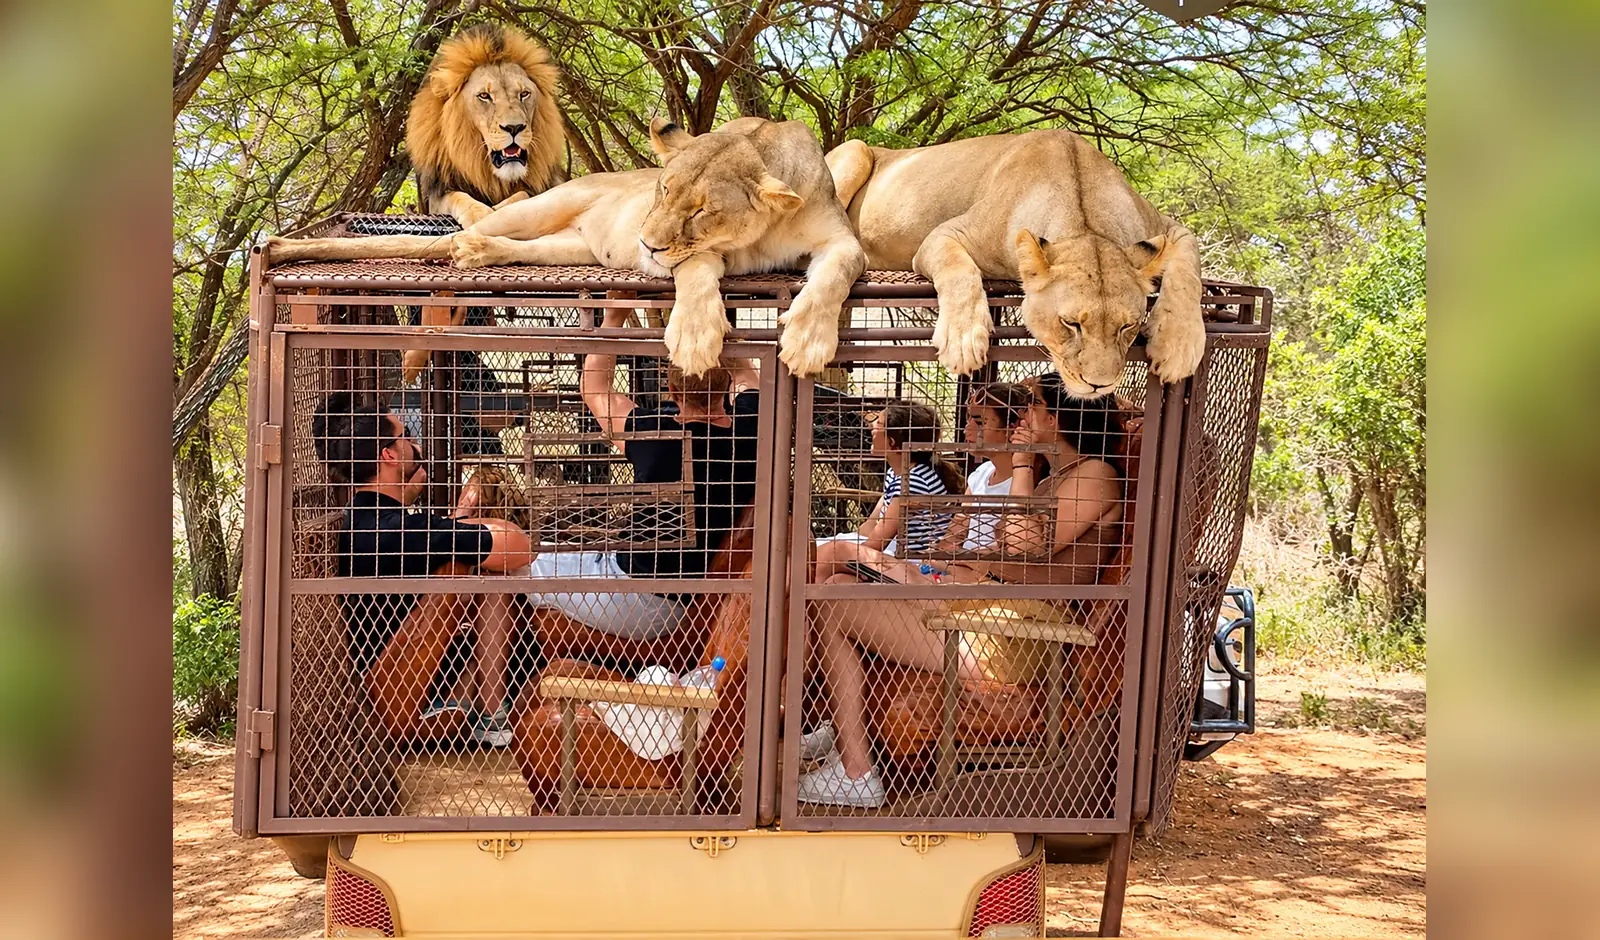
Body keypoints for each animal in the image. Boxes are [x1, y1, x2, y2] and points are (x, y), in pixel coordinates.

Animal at [269, 117, 866, 378]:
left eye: (701, 210)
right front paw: (697, 337)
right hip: (542, 206)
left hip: (564, 248)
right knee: (456, 232)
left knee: (495, 243)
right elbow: (696, 272)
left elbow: (837, 272)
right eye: (663, 188)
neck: (760, 234)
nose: (645, 243)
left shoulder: (839, 238)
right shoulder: (705, 256)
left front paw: (808, 340)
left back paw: (480, 255)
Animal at [407, 23, 565, 227]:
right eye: (484, 96)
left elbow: (525, 194)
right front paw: (478, 214)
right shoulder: (437, 195)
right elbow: (457, 196)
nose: (514, 128)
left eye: (524, 94)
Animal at [826, 129, 1207, 394]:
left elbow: (1190, 272)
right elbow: (959, 272)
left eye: (1128, 326)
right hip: (855, 150)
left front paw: (1178, 346)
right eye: (1071, 323)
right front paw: (963, 340)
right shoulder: (942, 236)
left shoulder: (1169, 228)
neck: (1083, 214)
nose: (1099, 385)